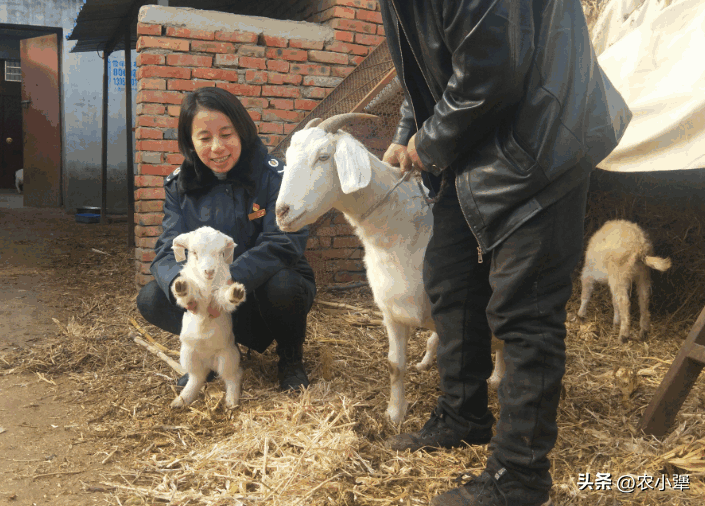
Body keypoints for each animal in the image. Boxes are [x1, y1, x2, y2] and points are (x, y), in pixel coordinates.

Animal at [170, 227, 248, 410]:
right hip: (188, 355)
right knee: (197, 378)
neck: (206, 285)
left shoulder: (219, 295)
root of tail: (209, 362)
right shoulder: (193, 302)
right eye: (193, 252)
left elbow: (224, 297)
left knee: (233, 376)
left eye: (220, 253)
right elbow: (187, 296)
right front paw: (181, 286)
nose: (209, 271)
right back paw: (182, 400)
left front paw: (235, 293)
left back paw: (231, 400)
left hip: (228, 357)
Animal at [272, 113, 504, 422]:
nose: (281, 213)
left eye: (323, 156)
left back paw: (498, 376)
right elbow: (395, 364)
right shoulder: (391, 310)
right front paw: (395, 412)